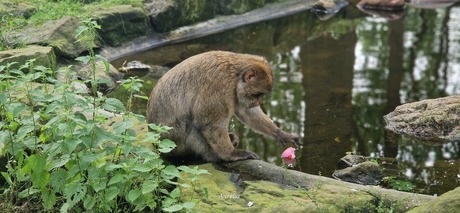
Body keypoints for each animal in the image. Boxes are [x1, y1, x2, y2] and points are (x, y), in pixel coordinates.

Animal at [146, 50, 300, 163]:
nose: (259, 102)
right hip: (174, 144)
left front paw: (280, 133)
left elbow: (247, 113)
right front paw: (232, 154)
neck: (235, 75)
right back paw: (214, 156)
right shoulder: (220, 85)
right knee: (194, 125)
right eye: (258, 95)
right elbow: (209, 124)